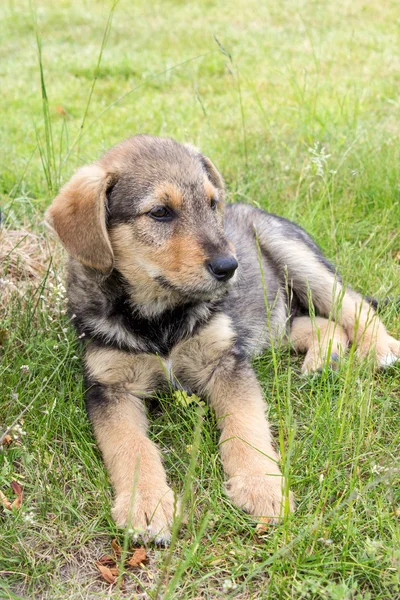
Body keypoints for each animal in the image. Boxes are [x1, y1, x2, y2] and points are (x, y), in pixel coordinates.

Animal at [45, 136, 400, 544]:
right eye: (160, 212)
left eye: (212, 204)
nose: (230, 267)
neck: (159, 318)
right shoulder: (110, 387)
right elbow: (131, 446)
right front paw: (147, 504)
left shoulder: (226, 360)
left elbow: (246, 424)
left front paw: (263, 486)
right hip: (270, 322)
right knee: (319, 324)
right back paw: (324, 361)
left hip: (295, 259)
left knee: (352, 304)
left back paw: (381, 348)